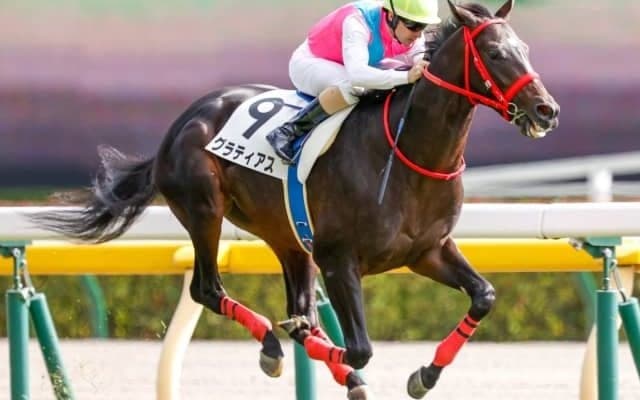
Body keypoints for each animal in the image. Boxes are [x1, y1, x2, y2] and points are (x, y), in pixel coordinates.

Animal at [33, 1, 559, 399]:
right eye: (495, 52)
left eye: (526, 49)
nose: (546, 110)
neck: (408, 153)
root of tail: (183, 121)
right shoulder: (339, 258)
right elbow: (360, 346)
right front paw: (346, 364)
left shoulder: (427, 251)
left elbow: (484, 296)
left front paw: (423, 375)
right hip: (205, 210)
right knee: (209, 290)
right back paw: (273, 346)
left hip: (288, 236)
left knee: (293, 305)